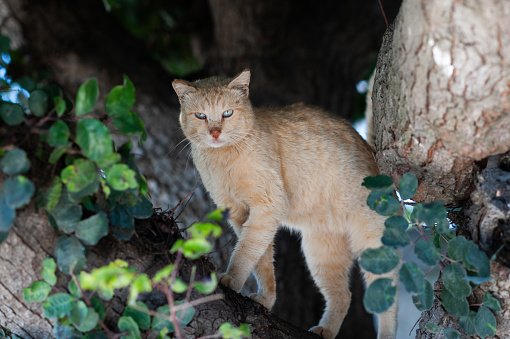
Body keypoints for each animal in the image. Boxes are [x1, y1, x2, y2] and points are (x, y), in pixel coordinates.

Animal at [171, 69, 398, 339]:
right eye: (200, 115)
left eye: (227, 113)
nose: (215, 133)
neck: (223, 159)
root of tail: (371, 152)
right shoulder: (241, 214)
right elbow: (260, 260)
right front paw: (266, 299)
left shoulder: (267, 207)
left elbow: (245, 252)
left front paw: (232, 279)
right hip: (321, 254)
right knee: (344, 296)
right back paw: (326, 330)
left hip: (371, 245)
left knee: (389, 297)